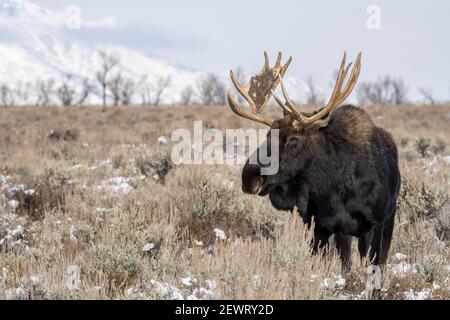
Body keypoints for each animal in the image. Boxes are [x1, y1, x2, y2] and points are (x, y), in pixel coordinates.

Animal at [229, 51, 400, 272]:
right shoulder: (321, 225)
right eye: (267, 134)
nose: (249, 176)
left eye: (293, 139)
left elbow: (374, 265)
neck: (333, 185)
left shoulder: (375, 223)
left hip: (387, 219)